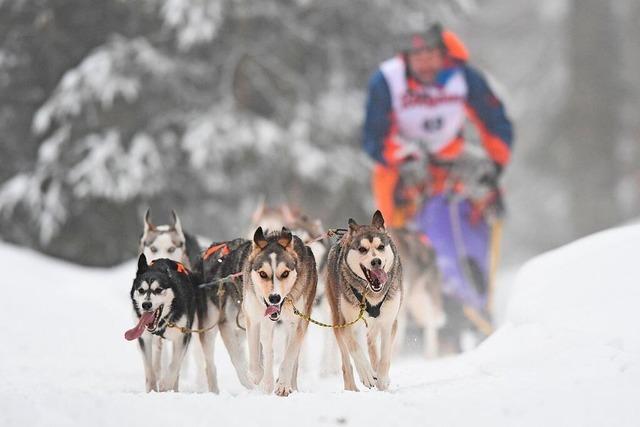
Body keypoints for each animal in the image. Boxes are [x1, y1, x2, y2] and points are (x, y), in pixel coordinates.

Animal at [124, 256, 196, 392]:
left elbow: (174, 365)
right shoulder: (144, 338)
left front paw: (165, 386)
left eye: (158, 290)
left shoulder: (182, 337)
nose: (146, 305)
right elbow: (149, 369)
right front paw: (152, 390)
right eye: (141, 290)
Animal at [242, 227, 318, 398]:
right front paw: (262, 379)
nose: (274, 297)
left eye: (285, 273)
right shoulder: (254, 318)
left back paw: (291, 385)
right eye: (263, 274)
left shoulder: (297, 324)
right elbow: (261, 353)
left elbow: (289, 357)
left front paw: (283, 385)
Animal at [328, 211, 402, 392]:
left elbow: (385, 355)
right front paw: (367, 374)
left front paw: (382, 378)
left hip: (375, 324)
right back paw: (352, 387)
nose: (376, 261)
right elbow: (355, 348)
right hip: (337, 320)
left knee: (371, 342)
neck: (372, 294)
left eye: (381, 247)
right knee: (346, 361)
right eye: (362, 249)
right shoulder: (346, 323)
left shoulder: (389, 322)